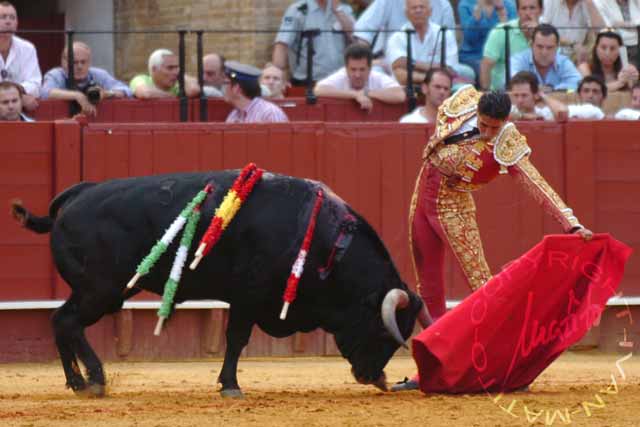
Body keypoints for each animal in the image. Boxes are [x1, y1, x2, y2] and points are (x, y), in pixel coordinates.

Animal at [12, 170, 430, 398]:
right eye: (383, 331)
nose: (375, 378)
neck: (326, 244)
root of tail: (76, 195)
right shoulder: (248, 297)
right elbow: (236, 339)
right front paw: (230, 385)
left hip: (98, 292)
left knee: (60, 322)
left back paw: (78, 383)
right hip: (103, 290)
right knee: (68, 323)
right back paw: (95, 380)